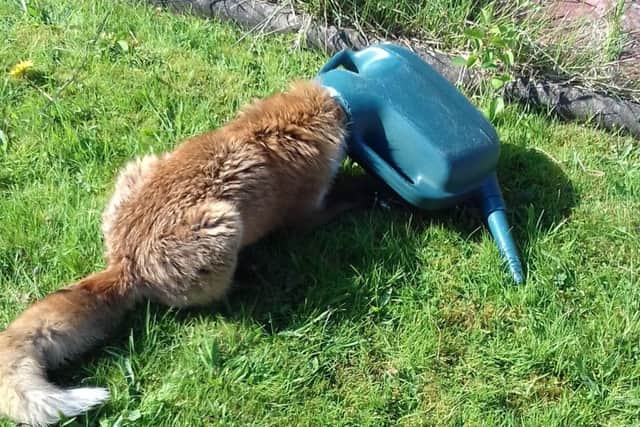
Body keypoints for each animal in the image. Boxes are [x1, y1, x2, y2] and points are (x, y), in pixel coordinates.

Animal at [0, 81, 357, 426]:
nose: (344, 105)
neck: (271, 129)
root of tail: (124, 263)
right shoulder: (305, 213)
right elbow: (327, 210)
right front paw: (361, 195)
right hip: (224, 226)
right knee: (210, 300)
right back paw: (248, 281)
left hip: (140, 165)